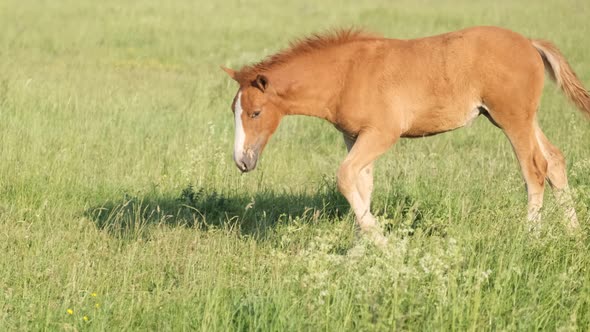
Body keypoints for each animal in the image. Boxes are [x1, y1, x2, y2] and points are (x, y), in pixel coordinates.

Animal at [223, 26, 590, 244]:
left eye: (255, 113)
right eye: (233, 110)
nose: (242, 161)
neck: (346, 75)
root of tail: (530, 43)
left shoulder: (382, 134)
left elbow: (345, 176)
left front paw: (379, 240)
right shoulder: (354, 137)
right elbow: (361, 183)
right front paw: (361, 246)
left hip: (512, 118)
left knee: (534, 168)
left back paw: (530, 234)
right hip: (522, 118)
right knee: (555, 161)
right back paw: (573, 231)